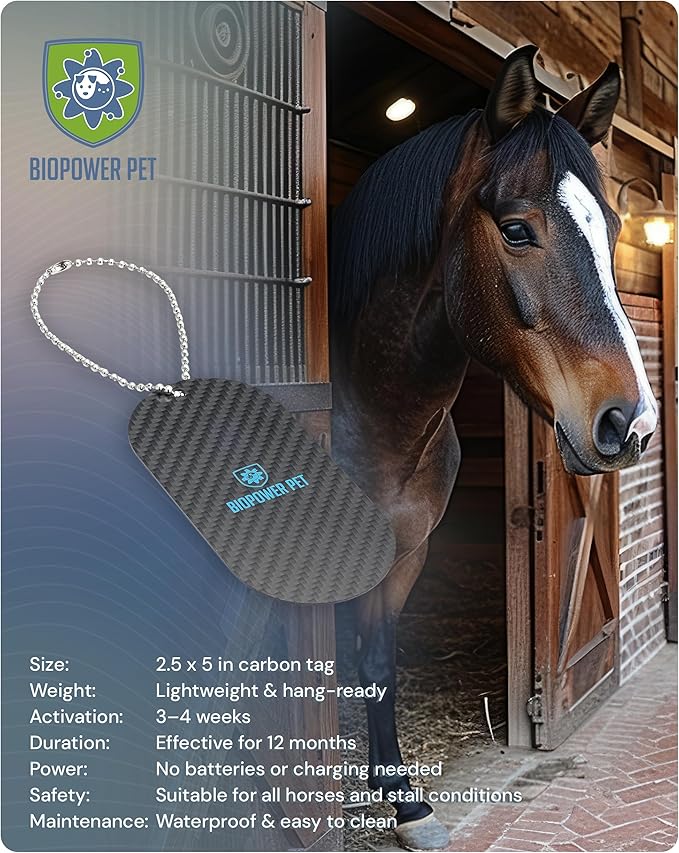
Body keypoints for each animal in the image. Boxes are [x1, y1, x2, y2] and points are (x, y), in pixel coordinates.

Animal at [329, 45, 657, 851]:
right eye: (514, 229)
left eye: (610, 228)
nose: (631, 424)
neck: (376, 418)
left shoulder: (403, 555)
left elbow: (375, 660)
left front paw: (405, 804)